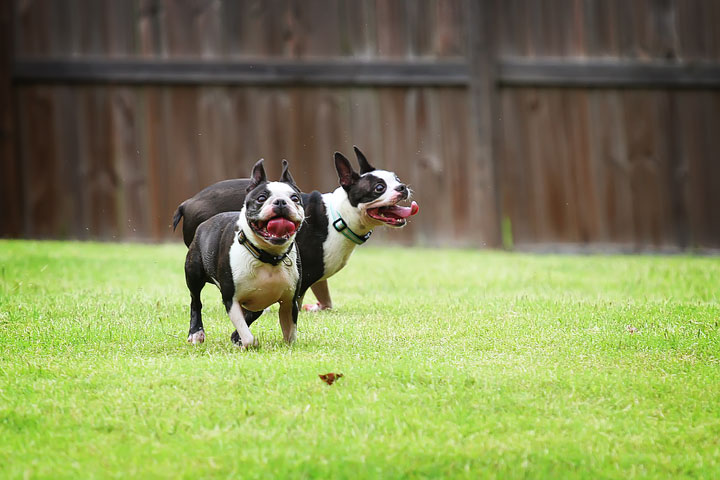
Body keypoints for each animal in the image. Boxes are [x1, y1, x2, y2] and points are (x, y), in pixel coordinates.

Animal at [174, 146, 420, 326]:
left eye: (397, 179)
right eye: (379, 188)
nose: (402, 188)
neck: (339, 217)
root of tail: (188, 202)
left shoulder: (316, 273)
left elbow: (326, 300)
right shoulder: (305, 275)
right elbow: (295, 303)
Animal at [184, 159, 306, 346]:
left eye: (295, 198)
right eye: (261, 198)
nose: (280, 201)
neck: (268, 256)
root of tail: (205, 223)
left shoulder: (289, 302)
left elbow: (290, 335)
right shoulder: (231, 299)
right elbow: (248, 336)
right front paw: (248, 342)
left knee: (253, 312)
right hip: (193, 272)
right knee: (195, 301)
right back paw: (196, 333)